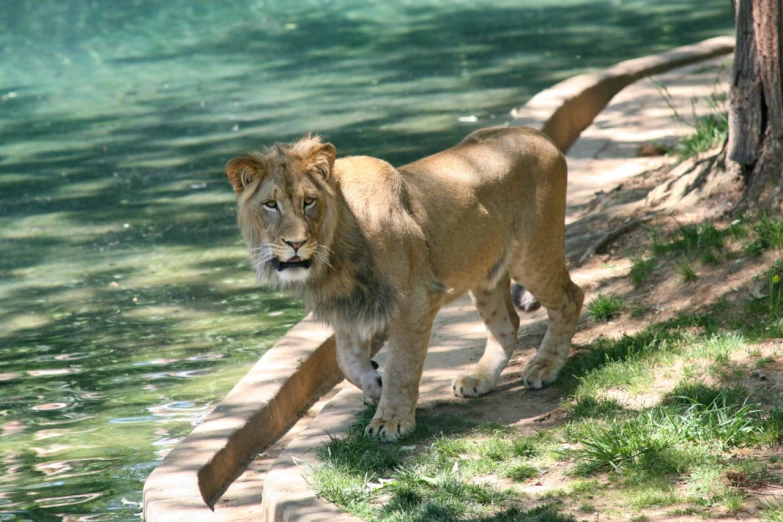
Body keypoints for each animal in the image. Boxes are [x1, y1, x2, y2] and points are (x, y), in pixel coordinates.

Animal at [225, 127, 580, 438]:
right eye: (271, 205)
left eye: (309, 201)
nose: (296, 244)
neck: (335, 258)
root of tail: (538, 134)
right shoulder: (349, 308)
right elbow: (346, 362)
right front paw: (375, 383)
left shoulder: (414, 301)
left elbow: (401, 366)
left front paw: (391, 421)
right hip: (485, 272)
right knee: (507, 324)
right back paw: (479, 378)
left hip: (532, 254)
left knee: (571, 298)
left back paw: (544, 367)